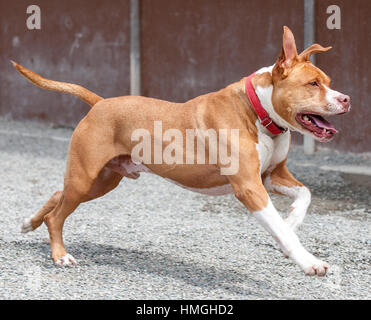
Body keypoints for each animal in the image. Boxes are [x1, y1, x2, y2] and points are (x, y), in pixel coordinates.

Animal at [13, 26, 352, 276]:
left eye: (328, 82)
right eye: (313, 84)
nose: (346, 99)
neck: (257, 111)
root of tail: (100, 103)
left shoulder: (272, 175)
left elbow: (305, 194)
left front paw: (293, 220)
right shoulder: (249, 187)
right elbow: (280, 228)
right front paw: (309, 261)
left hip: (101, 180)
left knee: (58, 196)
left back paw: (29, 222)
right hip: (87, 176)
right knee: (57, 215)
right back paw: (60, 256)